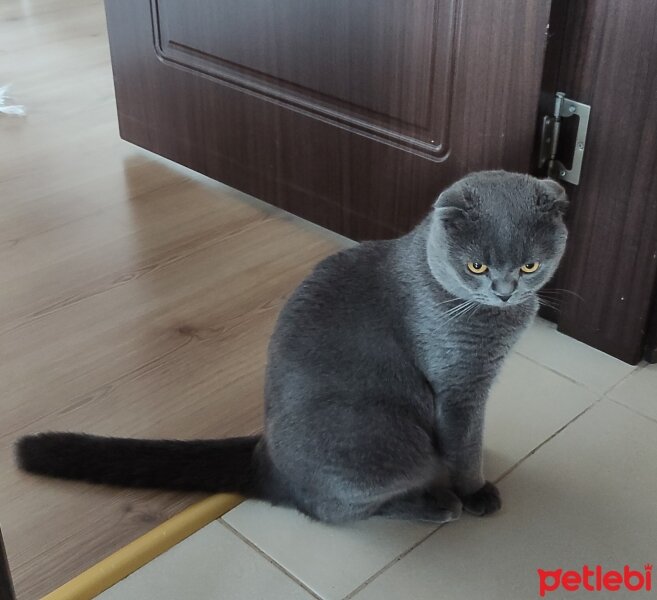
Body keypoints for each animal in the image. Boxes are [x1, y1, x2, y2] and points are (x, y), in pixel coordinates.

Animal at [16, 170, 568, 524]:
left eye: (529, 266)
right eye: (477, 266)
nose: (505, 291)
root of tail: (266, 461)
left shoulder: (475, 388)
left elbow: (468, 438)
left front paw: (478, 454)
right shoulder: (457, 384)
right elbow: (461, 446)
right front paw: (473, 490)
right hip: (382, 437)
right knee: (338, 509)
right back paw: (436, 504)